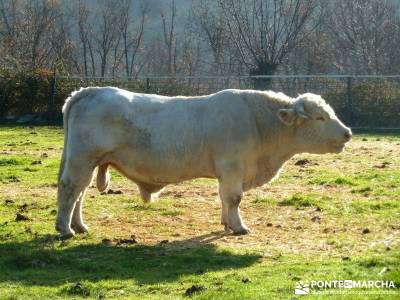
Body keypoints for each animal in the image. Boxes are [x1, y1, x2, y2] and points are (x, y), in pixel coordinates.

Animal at [55, 87, 350, 239]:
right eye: (321, 117)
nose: (348, 132)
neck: (258, 123)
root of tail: (89, 91)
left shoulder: (227, 173)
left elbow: (224, 198)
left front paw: (226, 223)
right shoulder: (232, 168)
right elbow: (234, 198)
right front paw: (239, 227)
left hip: (89, 163)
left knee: (79, 194)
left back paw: (79, 226)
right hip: (81, 160)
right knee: (70, 190)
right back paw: (65, 229)